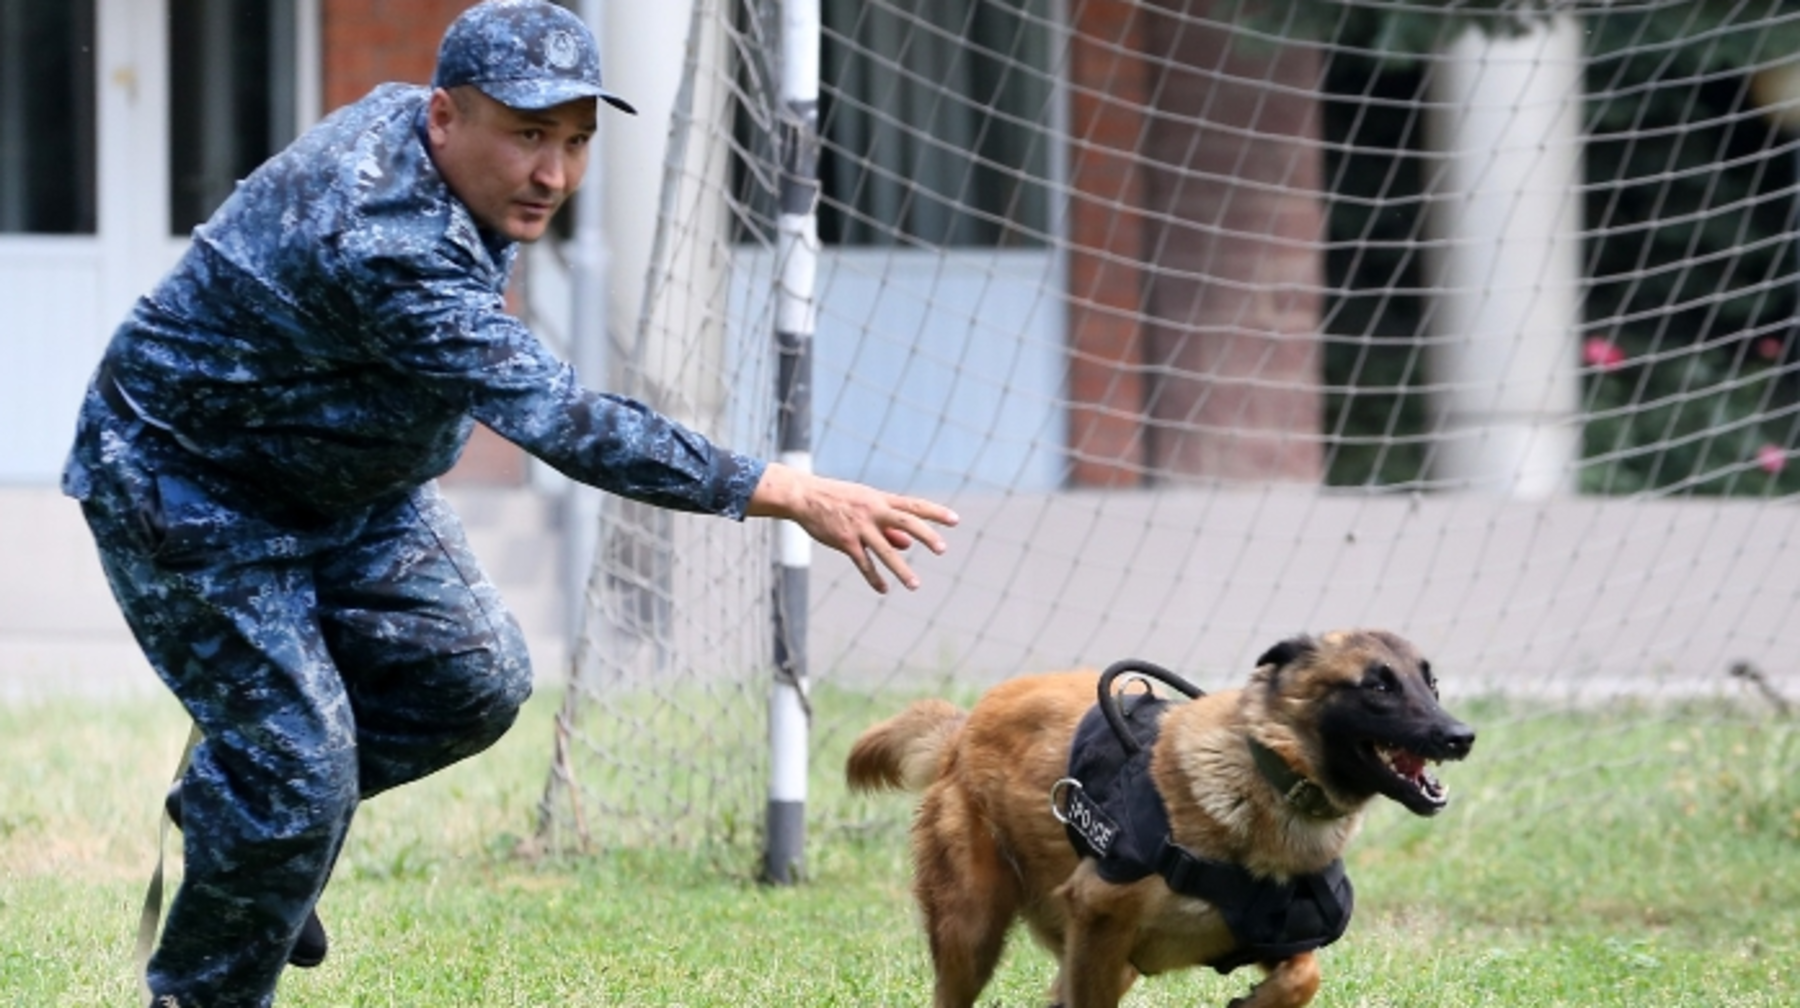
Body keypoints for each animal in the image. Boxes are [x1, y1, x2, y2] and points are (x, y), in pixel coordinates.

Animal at [842, 626, 1476, 1000]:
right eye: (1377, 685)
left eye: (1431, 683)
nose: (1461, 736)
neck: (1264, 778)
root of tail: (964, 731)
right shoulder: (1096, 923)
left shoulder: (1267, 940)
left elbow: (1305, 976)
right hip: (971, 934)